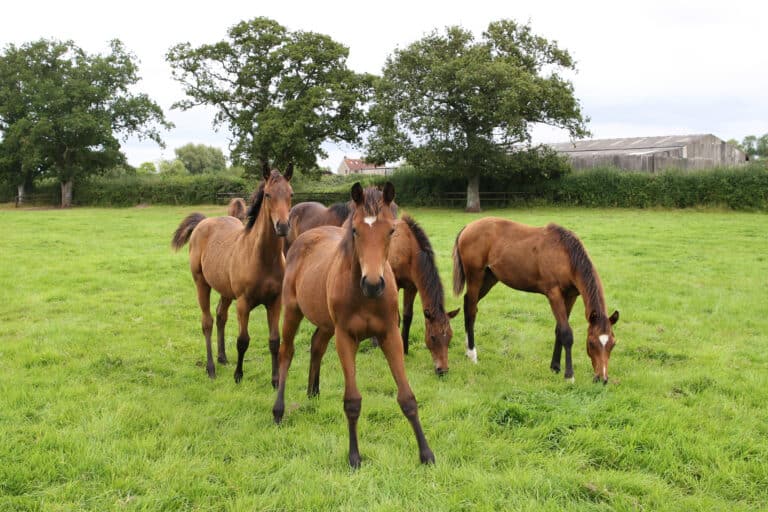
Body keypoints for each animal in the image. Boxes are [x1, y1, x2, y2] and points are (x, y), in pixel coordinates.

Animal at [171, 162, 293, 385]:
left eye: (291, 193)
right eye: (268, 194)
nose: (282, 226)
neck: (262, 258)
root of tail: (204, 221)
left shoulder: (275, 301)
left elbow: (274, 340)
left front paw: (275, 379)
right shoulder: (243, 303)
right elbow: (243, 340)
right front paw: (238, 375)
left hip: (225, 290)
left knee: (221, 315)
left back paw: (222, 357)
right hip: (201, 283)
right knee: (207, 322)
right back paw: (211, 368)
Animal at [272, 182, 434, 468]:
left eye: (391, 230)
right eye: (356, 230)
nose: (373, 283)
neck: (365, 297)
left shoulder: (389, 334)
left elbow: (407, 398)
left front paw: (426, 454)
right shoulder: (345, 337)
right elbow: (352, 401)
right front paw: (354, 457)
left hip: (326, 323)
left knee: (316, 344)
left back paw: (313, 392)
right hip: (292, 312)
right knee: (286, 353)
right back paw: (279, 410)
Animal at [388, 215, 459, 374]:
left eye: (450, 336)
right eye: (432, 337)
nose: (442, 370)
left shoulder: (412, 286)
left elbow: (407, 316)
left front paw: (405, 350)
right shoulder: (393, 283)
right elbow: (396, 318)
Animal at [452, 217, 619, 384]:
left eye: (613, 343)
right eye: (591, 343)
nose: (602, 379)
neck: (566, 256)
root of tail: (468, 227)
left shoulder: (571, 296)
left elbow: (559, 330)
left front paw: (555, 367)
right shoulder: (554, 294)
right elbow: (566, 333)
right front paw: (569, 376)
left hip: (489, 278)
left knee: (468, 304)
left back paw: (467, 350)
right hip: (475, 276)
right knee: (471, 309)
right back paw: (472, 354)